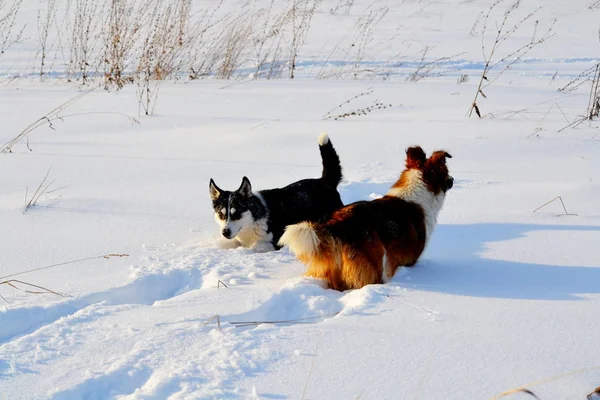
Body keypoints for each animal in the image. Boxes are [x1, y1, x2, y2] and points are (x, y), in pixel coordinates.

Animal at [210, 133, 342, 252]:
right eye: (221, 214)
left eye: (236, 213)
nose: (225, 232)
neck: (253, 220)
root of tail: (324, 181)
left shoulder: (274, 242)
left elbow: (254, 247)